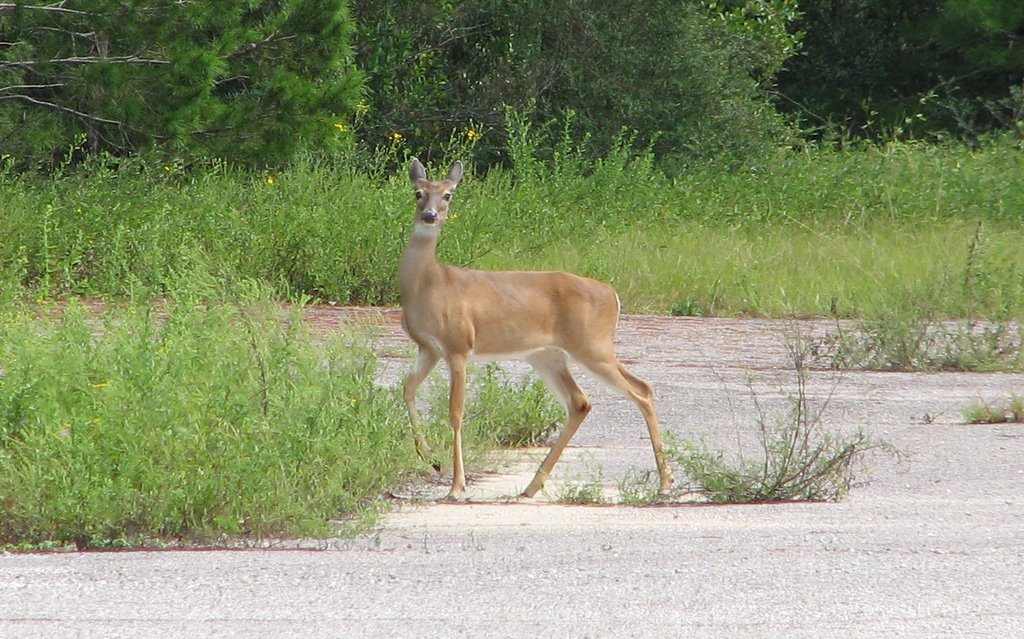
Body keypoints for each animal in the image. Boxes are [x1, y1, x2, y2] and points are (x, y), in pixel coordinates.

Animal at [397, 158, 671, 499]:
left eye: (448, 195)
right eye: (418, 192)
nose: (430, 215)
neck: (429, 284)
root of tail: (613, 294)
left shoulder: (458, 345)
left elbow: (455, 413)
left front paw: (457, 485)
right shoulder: (429, 347)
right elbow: (407, 389)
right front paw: (429, 456)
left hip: (592, 346)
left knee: (641, 390)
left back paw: (665, 482)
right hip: (547, 354)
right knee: (581, 401)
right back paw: (531, 486)